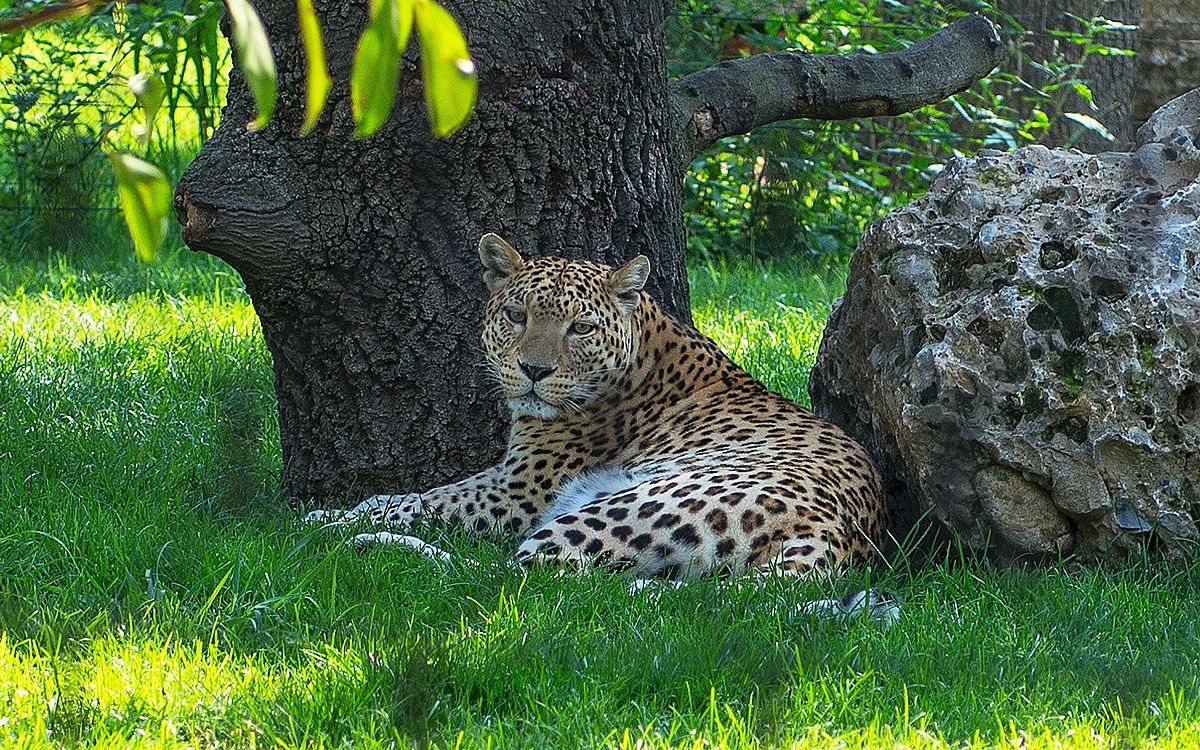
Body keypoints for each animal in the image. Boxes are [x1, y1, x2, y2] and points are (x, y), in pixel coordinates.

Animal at [306, 233, 887, 580]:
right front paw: (340, 509)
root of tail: (837, 541)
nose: (534, 371)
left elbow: (422, 501)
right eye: (516, 316)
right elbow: (411, 494)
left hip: (620, 507)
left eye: (580, 328)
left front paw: (325, 517)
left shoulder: (516, 489)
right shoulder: (508, 477)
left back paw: (363, 544)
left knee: (509, 575)